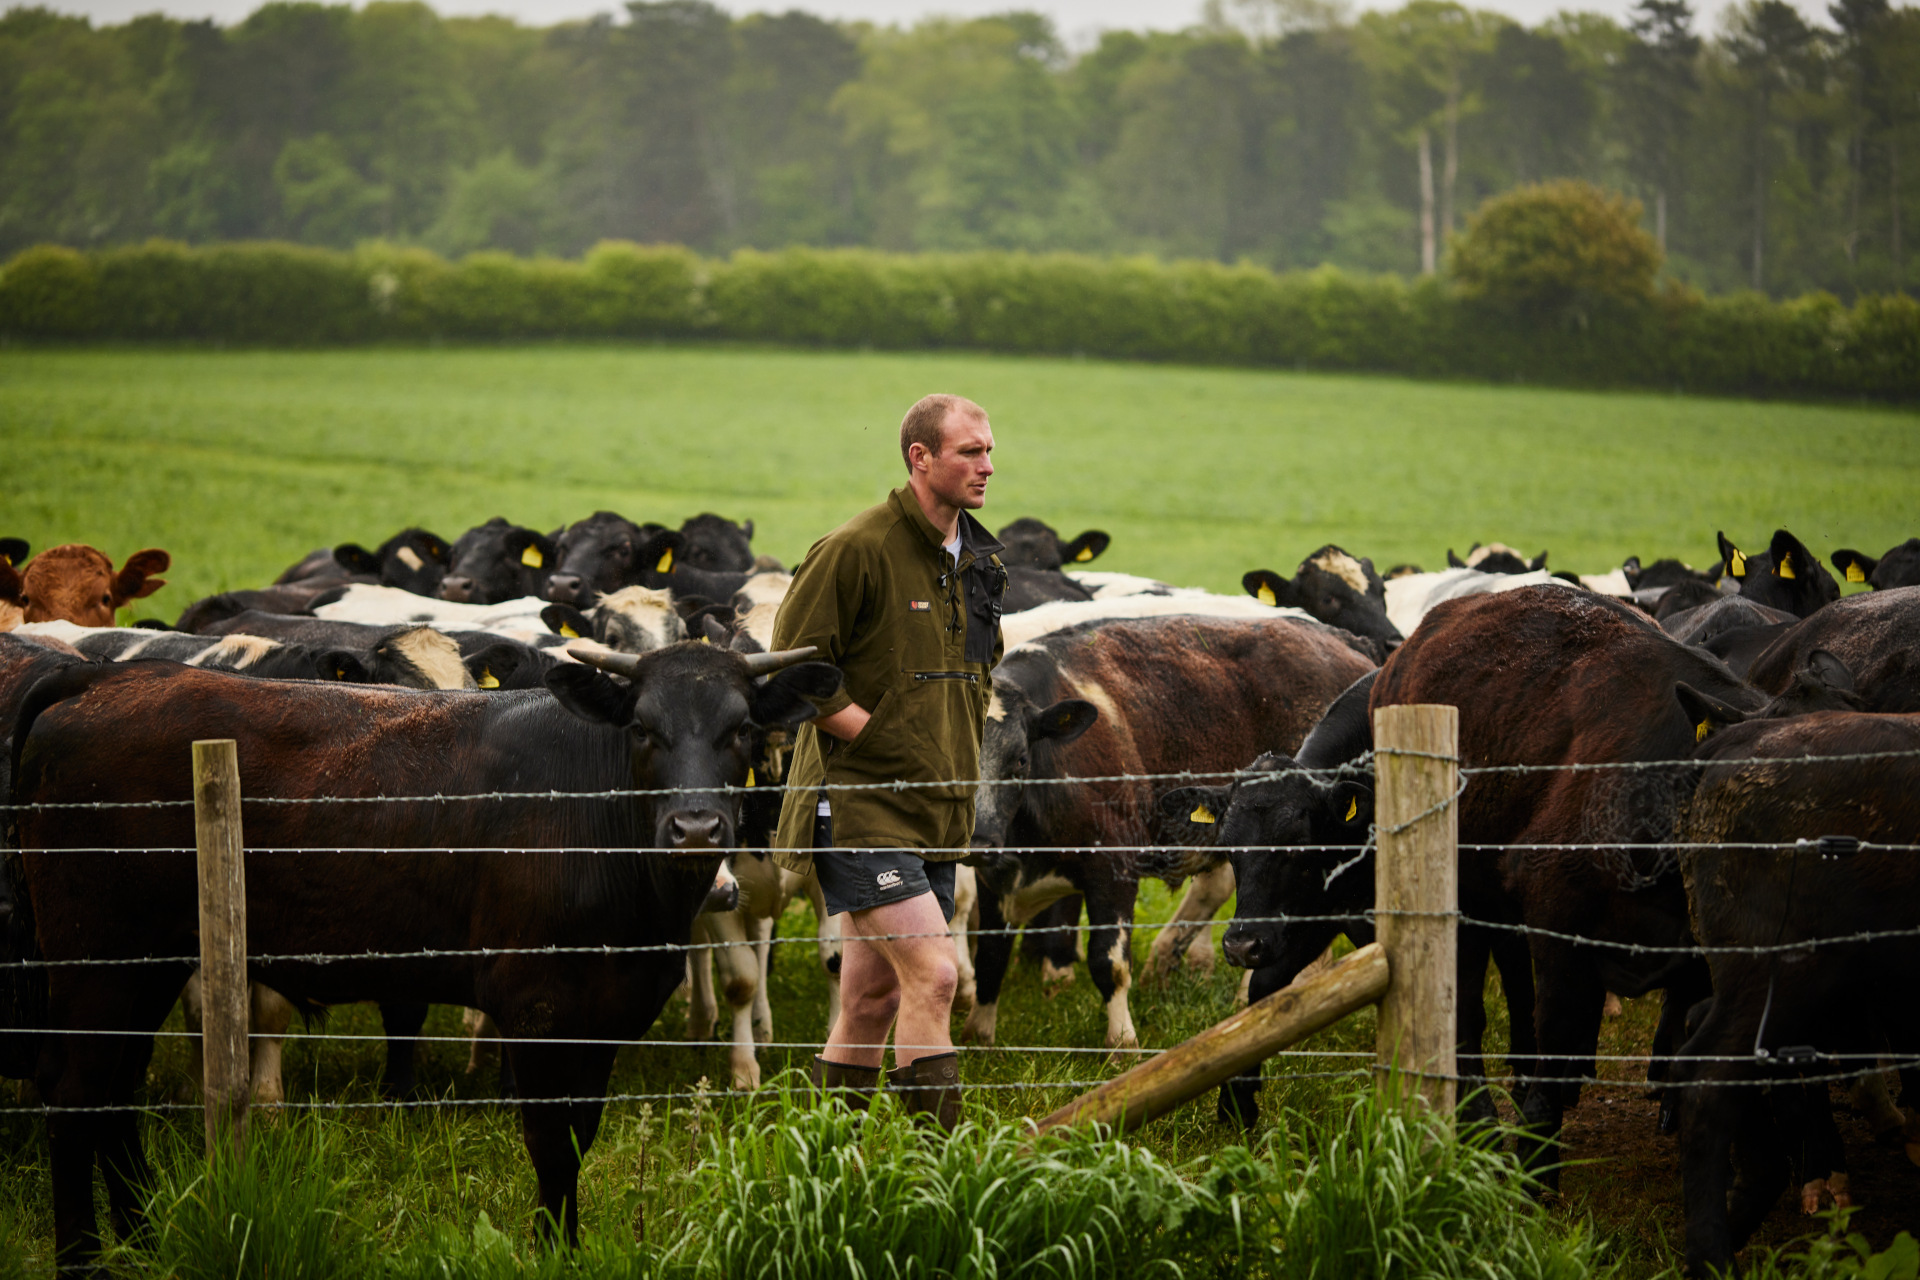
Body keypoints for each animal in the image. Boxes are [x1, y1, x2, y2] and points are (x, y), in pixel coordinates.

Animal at [5, 644, 833, 1266]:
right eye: (642, 728)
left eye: (741, 730)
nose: (695, 828)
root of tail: (110, 676)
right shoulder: (539, 1007)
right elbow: (551, 1144)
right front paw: (551, 1252)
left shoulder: (603, 1012)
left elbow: (578, 1135)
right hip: (97, 957)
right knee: (75, 1093)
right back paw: (83, 1260)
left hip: (144, 962)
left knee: (115, 1092)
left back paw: (145, 1239)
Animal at [967, 617, 1374, 1051]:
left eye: (1020, 759)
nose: (977, 841)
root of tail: (1339, 637)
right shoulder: (991, 880)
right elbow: (989, 957)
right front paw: (979, 1036)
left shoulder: (1113, 869)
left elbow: (1108, 962)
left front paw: (1122, 1042)